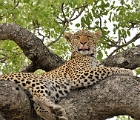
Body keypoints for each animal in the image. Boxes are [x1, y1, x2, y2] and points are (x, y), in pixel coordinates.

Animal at [0, 29, 133, 119]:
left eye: (89, 36)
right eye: (77, 37)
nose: (83, 43)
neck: (90, 56)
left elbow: (103, 68)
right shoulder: (79, 75)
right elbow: (106, 69)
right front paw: (126, 71)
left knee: (36, 105)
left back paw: (55, 114)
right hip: (38, 80)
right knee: (37, 96)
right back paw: (56, 109)